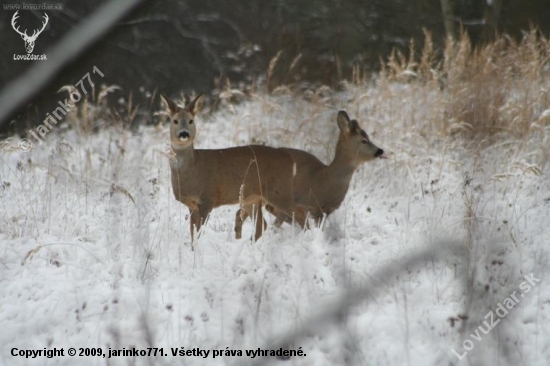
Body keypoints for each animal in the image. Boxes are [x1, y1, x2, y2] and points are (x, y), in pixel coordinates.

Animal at [235, 110, 386, 239]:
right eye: (364, 140)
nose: (380, 151)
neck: (325, 179)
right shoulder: (299, 202)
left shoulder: (322, 211)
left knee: (240, 213)